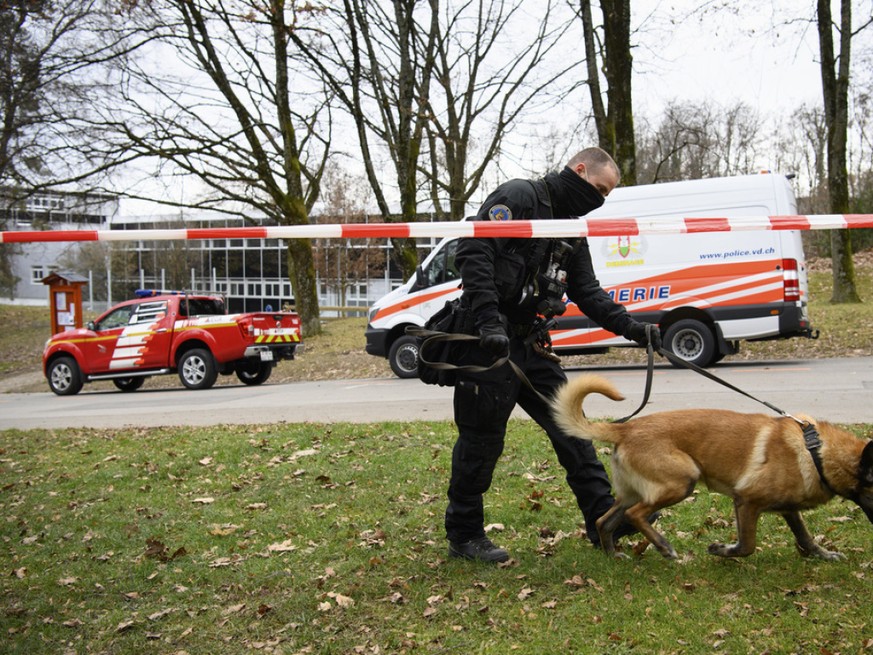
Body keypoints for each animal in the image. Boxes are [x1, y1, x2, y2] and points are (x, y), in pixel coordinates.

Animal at [552, 376, 872, 560]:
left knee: (603, 521)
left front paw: (823, 554)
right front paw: (722, 550)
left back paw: (612, 555)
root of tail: (625, 429)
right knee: (636, 514)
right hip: (683, 481)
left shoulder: (787, 509)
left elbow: (804, 536)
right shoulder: (746, 501)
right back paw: (664, 547)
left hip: (632, 493)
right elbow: (747, 545)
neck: (815, 451)